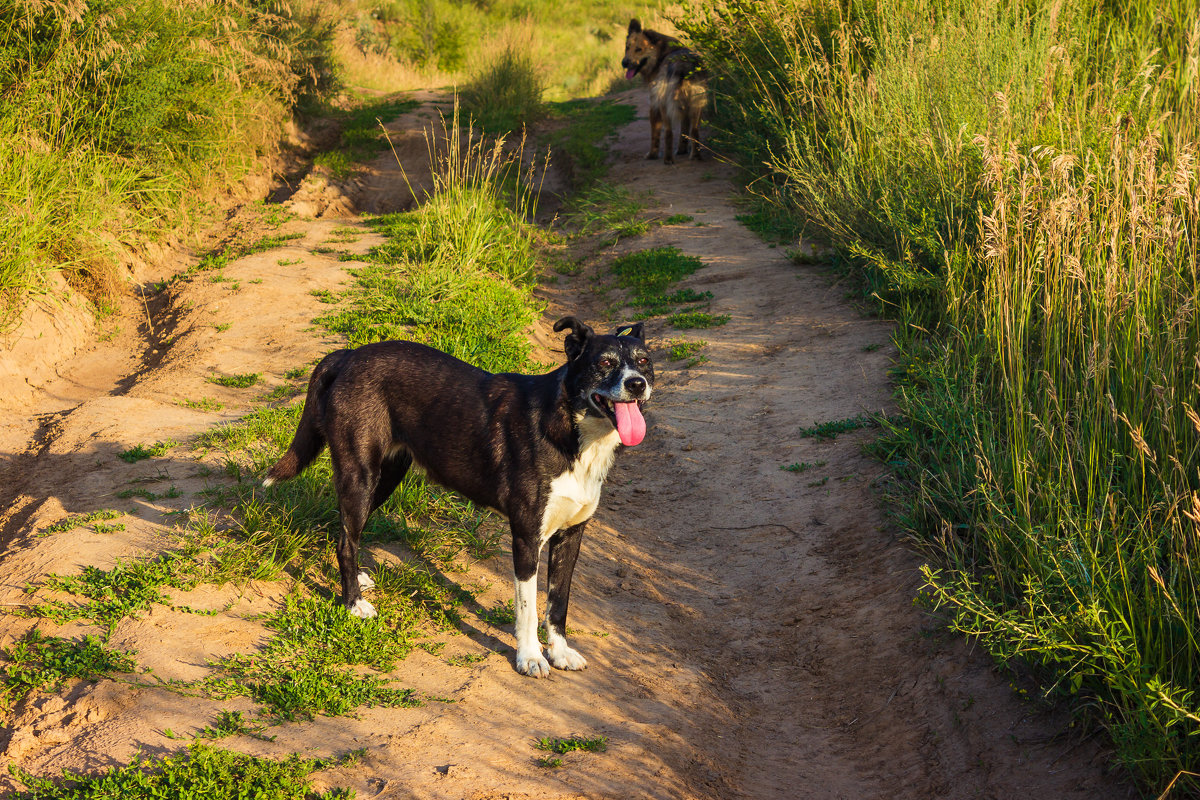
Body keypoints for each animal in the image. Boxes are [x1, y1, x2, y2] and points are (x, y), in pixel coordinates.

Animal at [265, 316, 657, 681]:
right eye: (604, 363)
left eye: (644, 361)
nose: (637, 384)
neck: (573, 430)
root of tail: (347, 356)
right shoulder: (527, 537)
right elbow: (528, 608)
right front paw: (530, 657)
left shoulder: (571, 536)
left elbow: (558, 603)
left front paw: (559, 652)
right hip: (360, 474)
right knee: (347, 539)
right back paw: (354, 604)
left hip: (386, 477)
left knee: (345, 532)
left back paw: (357, 577)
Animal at [624, 19, 705, 163]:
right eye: (627, 47)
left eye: (639, 49)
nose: (624, 63)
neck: (660, 54)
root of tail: (682, 66)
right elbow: (684, 131)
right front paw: (682, 150)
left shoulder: (654, 105)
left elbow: (655, 135)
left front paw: (652, 155)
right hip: (696, 105)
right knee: (694, 131)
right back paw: (695, 156)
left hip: (665, 106)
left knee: (668, 133)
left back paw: (667, 160)